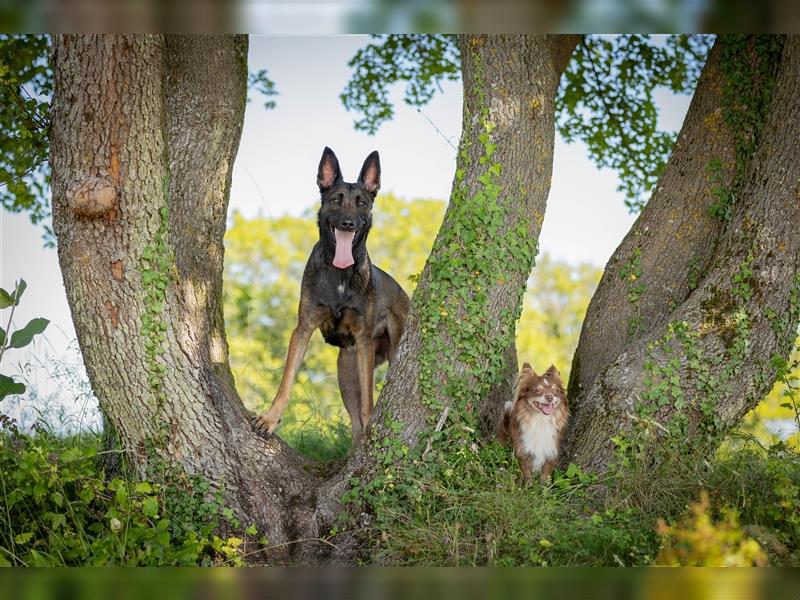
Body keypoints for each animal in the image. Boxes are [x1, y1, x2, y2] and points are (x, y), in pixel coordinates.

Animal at [253, 147, 410, 440]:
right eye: (336, 200)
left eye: (362, 203)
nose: (348, 223)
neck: (340, 274)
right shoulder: (303, 329)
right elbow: (286, 381)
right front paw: (270, 418)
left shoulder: (363, 341)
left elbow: (368, 402)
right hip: (345, 371)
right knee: (355, 424)